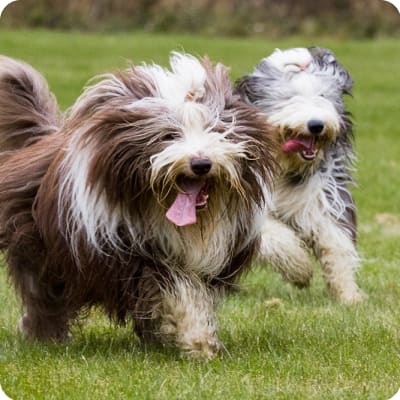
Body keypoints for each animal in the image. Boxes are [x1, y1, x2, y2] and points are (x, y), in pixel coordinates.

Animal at [0, 52, 274, 356]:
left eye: (216, 130)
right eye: (169, 135)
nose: (201, 163)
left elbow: (194, 292)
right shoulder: (128, 254)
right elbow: (172, 286)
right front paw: (197, 340)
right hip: (42, 249)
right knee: (44, 294)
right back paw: (45, 335)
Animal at [236, 47, 368, 304]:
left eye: (322, 95)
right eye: (289, 98)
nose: (316, 124)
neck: (285, 166)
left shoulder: (323, 195)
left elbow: (335, 241)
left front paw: (348, 293)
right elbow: (276, 235)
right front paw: (299, 269)